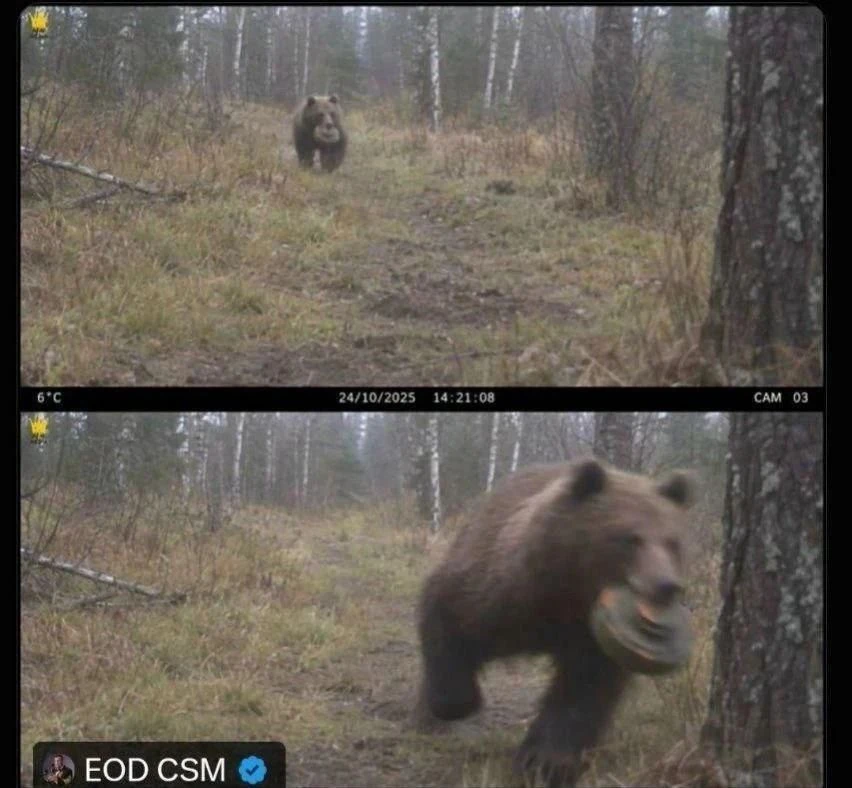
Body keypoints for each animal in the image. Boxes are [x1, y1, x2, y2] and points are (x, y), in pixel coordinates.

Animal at [415, 458, 695, 788]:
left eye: (673, 542)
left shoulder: (591, 639)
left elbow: (582, 690)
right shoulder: (501, 593)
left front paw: (546, 762)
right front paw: (456, 703)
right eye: (631, 538)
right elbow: (449, 615)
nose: (667, 585)